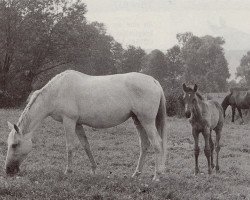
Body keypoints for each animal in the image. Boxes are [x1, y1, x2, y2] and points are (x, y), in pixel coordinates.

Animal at [4, 69, 168, 180]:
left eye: (14, 145)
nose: (8, 170)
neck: (57, 92)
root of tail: (154, 82)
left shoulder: (69, 121)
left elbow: (70, 146)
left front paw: (68, 171)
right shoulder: (77, 124)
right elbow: (85, 145)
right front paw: (94, 169)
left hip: (147, 121)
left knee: (157, 144)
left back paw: (157, 175)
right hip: (138, 120)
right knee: (144, 145)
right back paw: (136, 174)